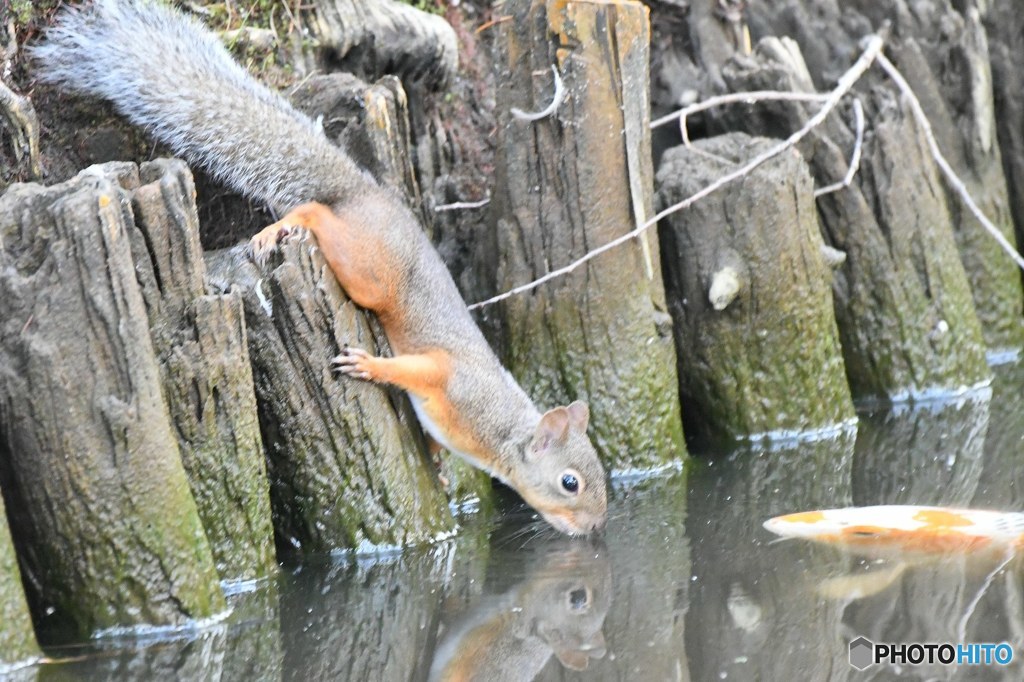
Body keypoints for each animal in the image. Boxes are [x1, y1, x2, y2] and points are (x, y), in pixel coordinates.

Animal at [34, 0, 606, 532]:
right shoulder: (452, 380)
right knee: (317, 213)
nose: (594, 528)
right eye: (570, 482)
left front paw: (440, 466)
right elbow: (415, 370)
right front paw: (370, 368)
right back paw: (284, 226)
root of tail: (363, 191)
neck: (501, 433)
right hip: (368, 270)